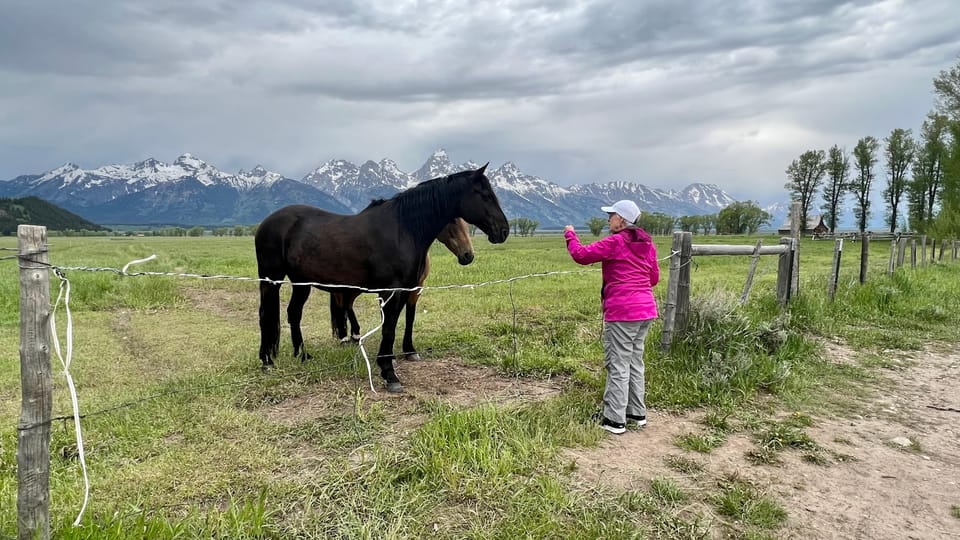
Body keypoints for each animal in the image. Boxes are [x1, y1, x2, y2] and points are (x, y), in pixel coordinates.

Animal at [330, 216, 476, 362]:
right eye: (452, 220)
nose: (468, 255)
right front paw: (389, 356)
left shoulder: (415, 289)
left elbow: (409, 317)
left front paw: (409, 350)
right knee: (341, 305)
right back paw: (344, 339)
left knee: (348, 305)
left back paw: (355, 336)